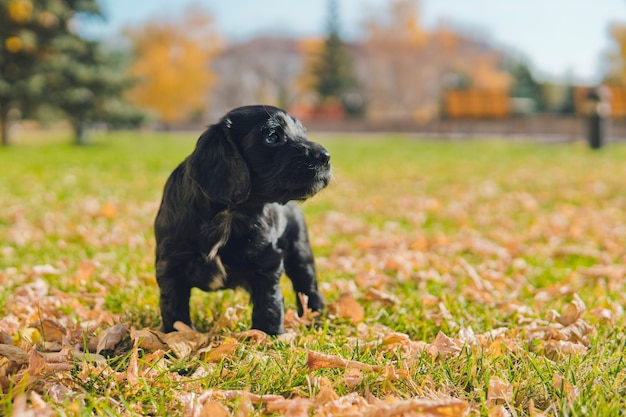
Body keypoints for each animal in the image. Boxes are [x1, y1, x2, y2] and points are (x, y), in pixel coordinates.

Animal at [155, 105, 332, 334]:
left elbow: (269, 302)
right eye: (271, 137)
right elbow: (173, 304)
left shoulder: (267, 261)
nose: (326, 157)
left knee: (308, 287)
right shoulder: (171, 263)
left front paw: (267, 335)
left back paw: (316, 320)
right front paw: (177, 334)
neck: (230, 213)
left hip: (300, 251)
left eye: (302, 133)